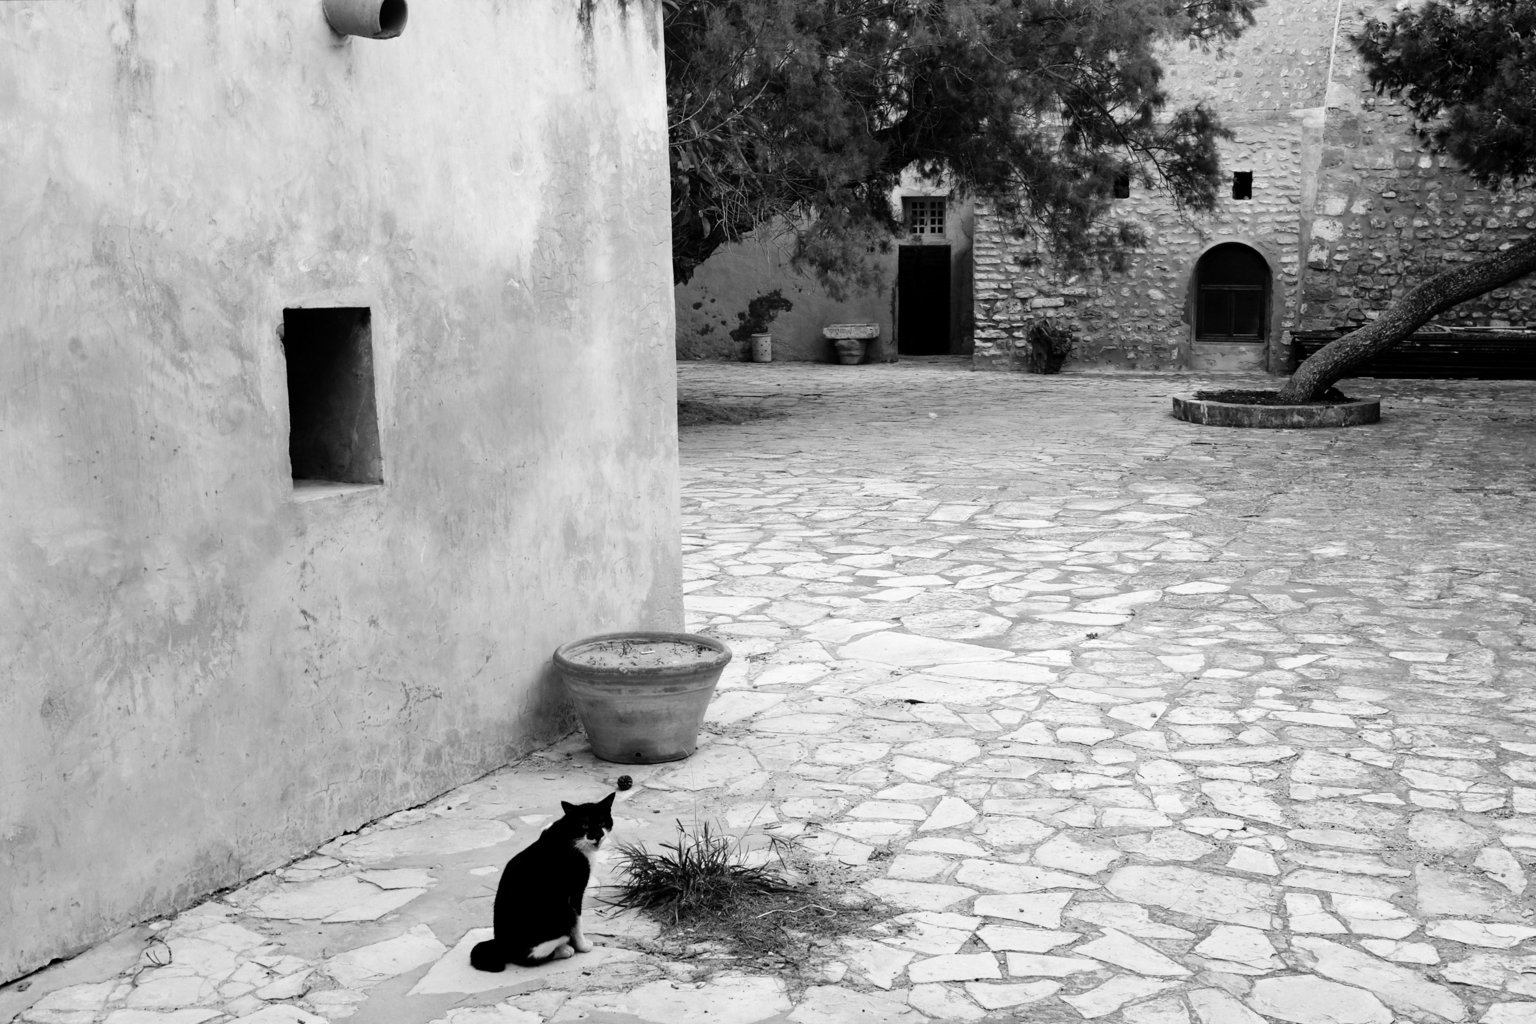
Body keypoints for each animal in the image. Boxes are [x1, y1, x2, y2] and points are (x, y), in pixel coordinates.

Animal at [466, 792, 611, 970]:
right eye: (584, 825)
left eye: (602, 822)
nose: (597, 836)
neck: (568, 833)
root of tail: (501, 945)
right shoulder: (575, 893)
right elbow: (578, 923)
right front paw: (583, 946)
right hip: (562, 913)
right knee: (527, 957)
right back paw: (564, 950)